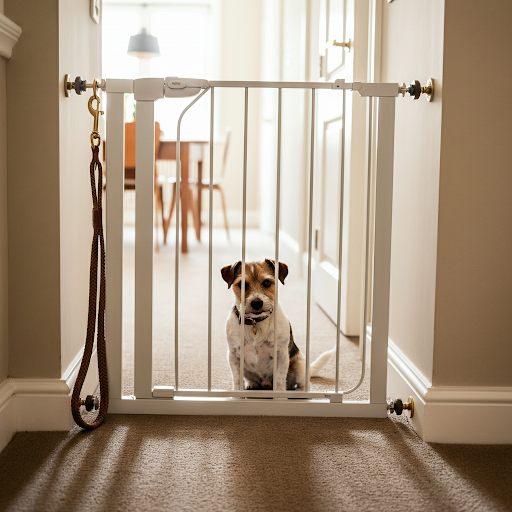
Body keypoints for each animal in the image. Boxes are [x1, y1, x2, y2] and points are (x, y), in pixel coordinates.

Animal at [221, 258, 336, 390]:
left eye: (266, 282)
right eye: (242, 284)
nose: (256, 303)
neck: (256, 322)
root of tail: (265, 383)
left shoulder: (281, 354)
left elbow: (280, 380)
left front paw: (279, 394)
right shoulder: (233, 355)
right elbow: (237, 380)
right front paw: (237, 393)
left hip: (300, 364)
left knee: (304, 384)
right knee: (249, 379)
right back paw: (252, 384)